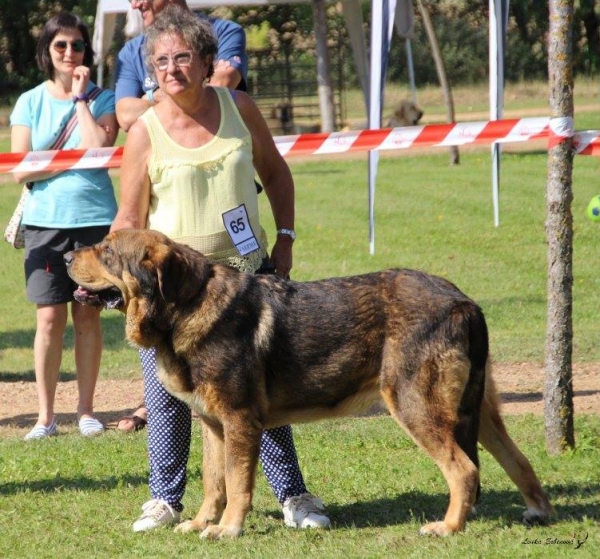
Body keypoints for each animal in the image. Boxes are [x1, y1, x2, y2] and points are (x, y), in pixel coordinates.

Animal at [64, 230, 552, 540]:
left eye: (106, 252)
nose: (66, 257)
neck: (185, 306)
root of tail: (463, 302)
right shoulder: (213, 424)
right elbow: (214, 484)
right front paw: (203, 523)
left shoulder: (240, 421)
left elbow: (238, 484)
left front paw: (227, 530)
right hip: (477, 411)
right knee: (519, 461)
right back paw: (537, 512)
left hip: (417, 407)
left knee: (464, 470)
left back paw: (448, 528)